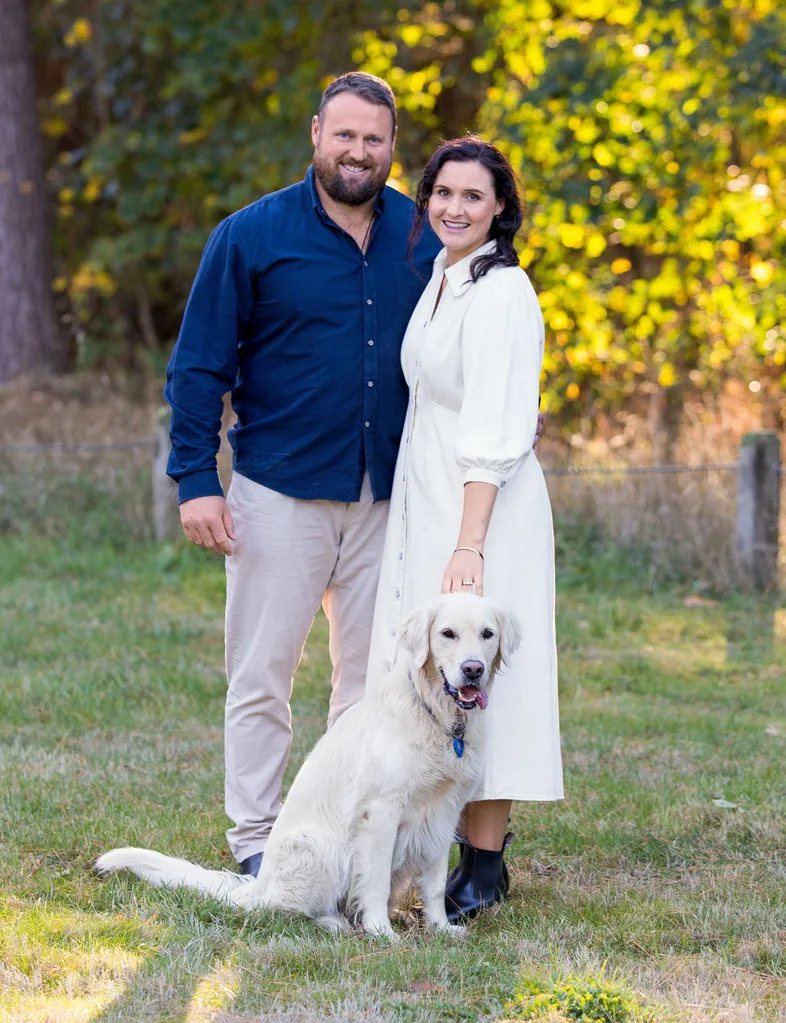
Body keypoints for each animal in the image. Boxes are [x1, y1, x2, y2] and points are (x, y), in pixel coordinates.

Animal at [93, 593, 521, 941]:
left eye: (487, 634)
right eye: (447, 633)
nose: (473, 669)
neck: (439, 718)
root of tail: (257, 885)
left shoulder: (443, 813)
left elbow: (432, 884)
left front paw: (440, 928)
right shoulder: (380, 813)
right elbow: (376, 882)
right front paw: (381, 933)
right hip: (319, 847)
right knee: (282, 909)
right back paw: (334, 923)